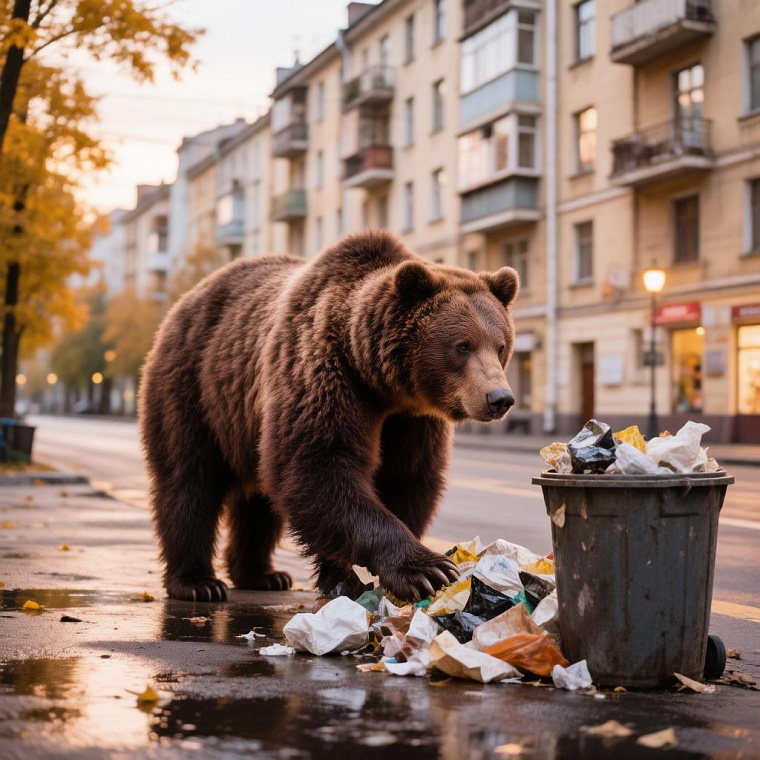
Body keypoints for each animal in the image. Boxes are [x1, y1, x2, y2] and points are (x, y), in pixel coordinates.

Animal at [139, 230, 519, 603]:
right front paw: (426, 569)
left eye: (500, 346)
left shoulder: (412, 421)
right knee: (188, 481)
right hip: (194, 387)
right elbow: (319, 464)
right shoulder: (322, 373)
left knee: (258, 500)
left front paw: (347, 576)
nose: (500, 398)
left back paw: (262, 574)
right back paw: (197, 581)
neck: (380, 383)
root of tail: (185, 300)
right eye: (462, 345)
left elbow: (405, 477)